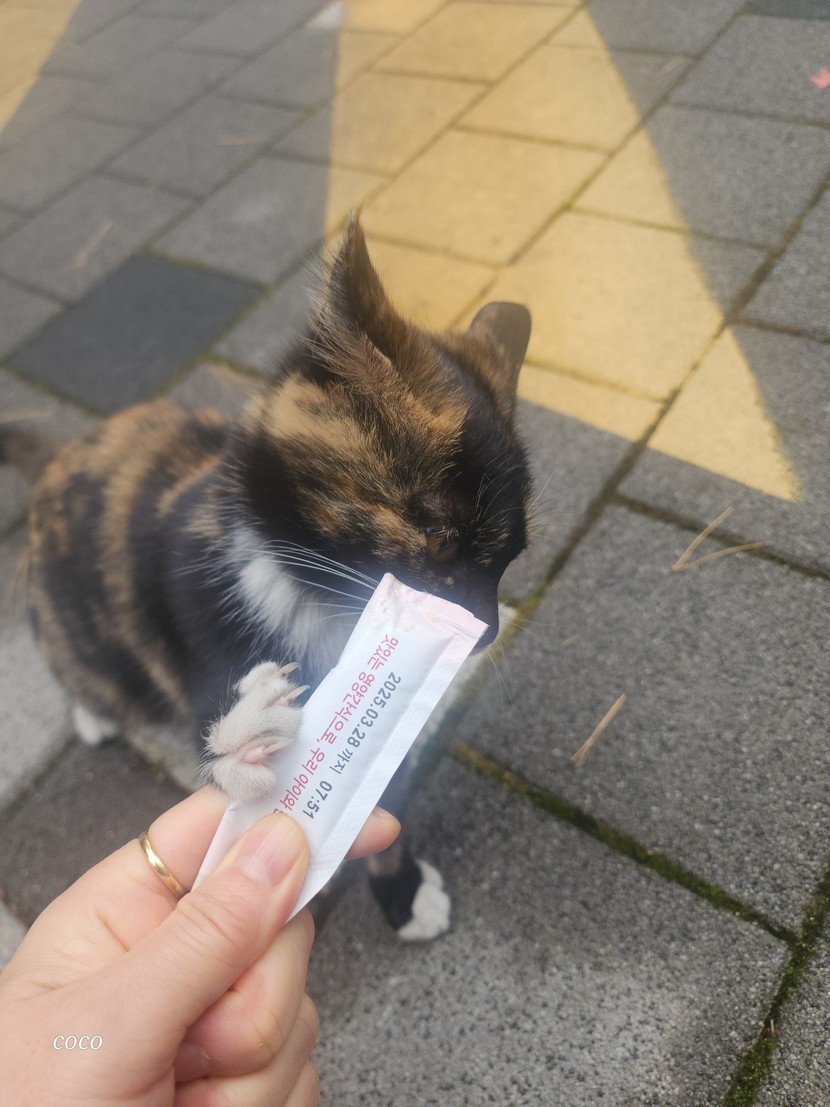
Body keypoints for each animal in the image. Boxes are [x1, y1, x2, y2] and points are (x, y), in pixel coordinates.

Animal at [21, 216, 533, 939]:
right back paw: (94, 711)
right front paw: (246, 738)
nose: (485, 632)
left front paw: (401, 889)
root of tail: (60, 457)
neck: (321, 603)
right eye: (437, 538)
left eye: (509, 558)